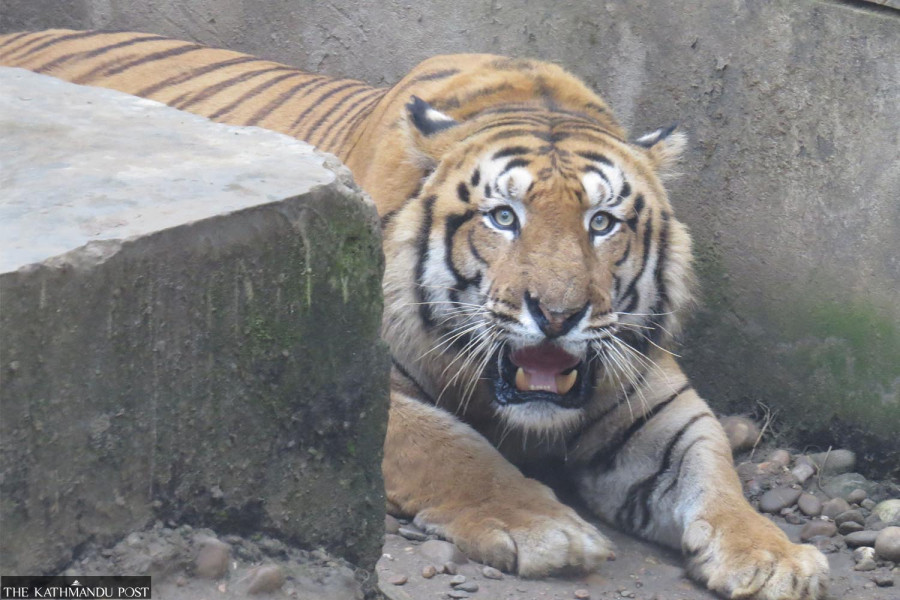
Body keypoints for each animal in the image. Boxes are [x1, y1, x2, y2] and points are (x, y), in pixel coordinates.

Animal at [0, 30, 829, 599]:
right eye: (503, 217)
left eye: (602, 223)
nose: (558, 314)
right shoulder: (361, 382)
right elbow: (454, 449)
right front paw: (544, 529)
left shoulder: (653, 400)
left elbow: (715, 474)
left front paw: (774, 556)